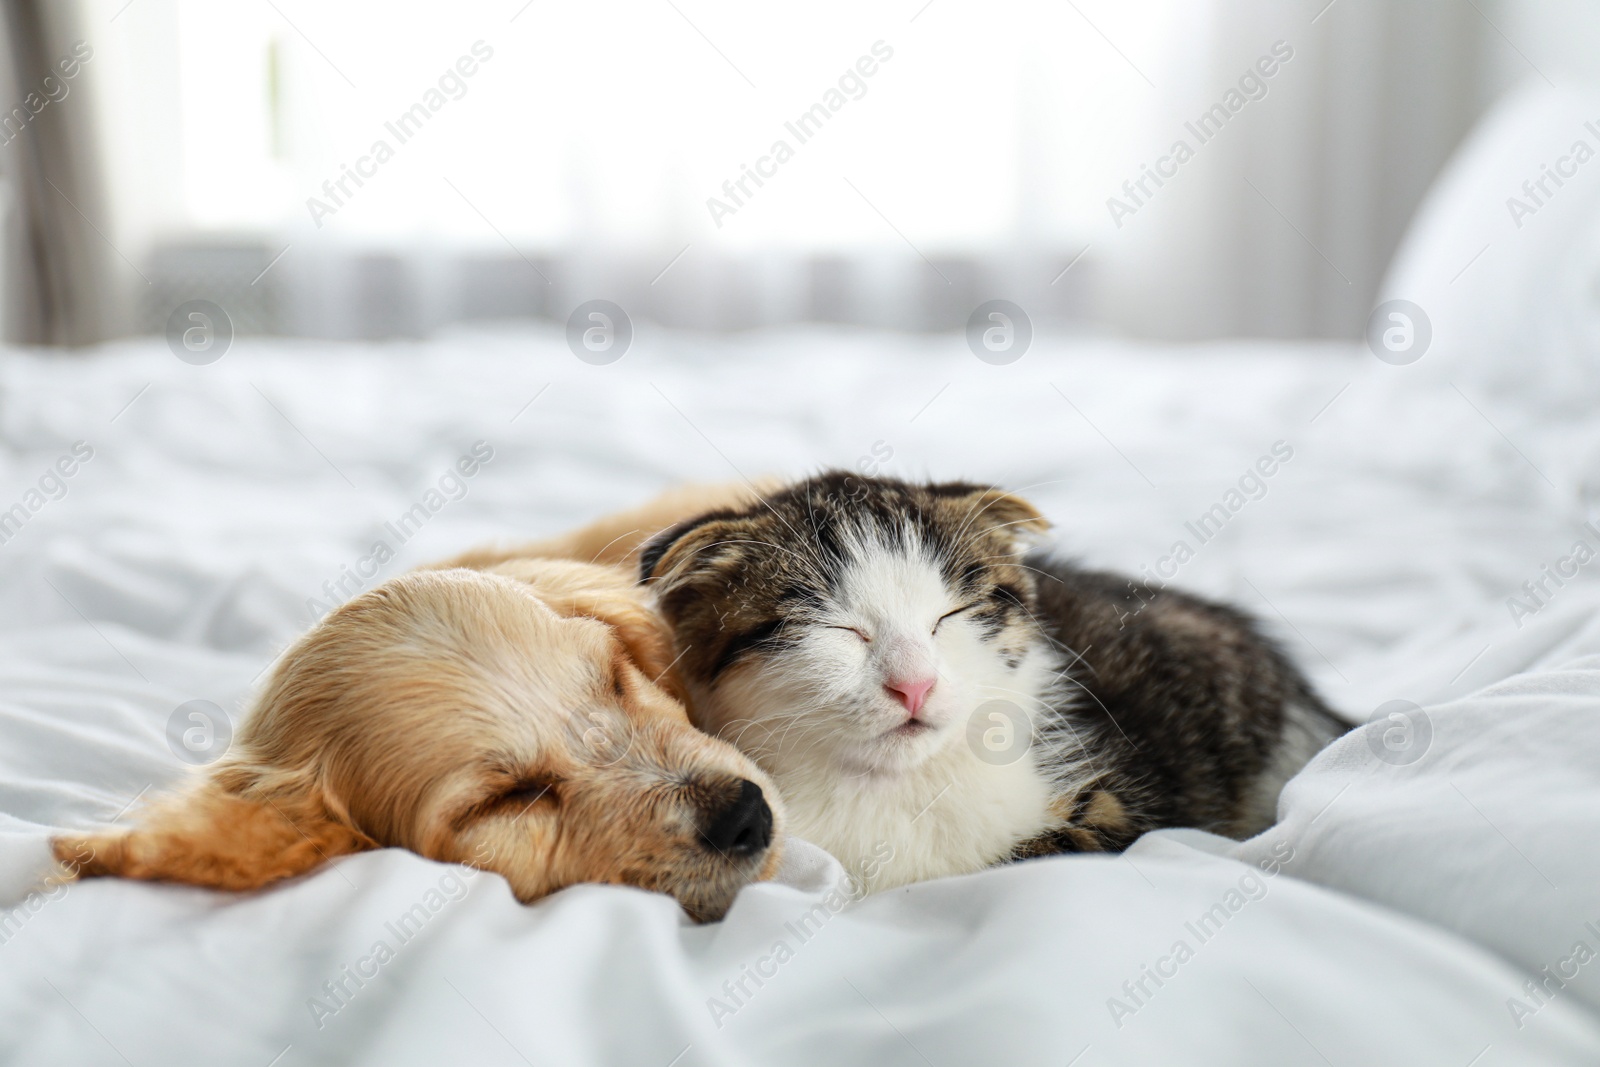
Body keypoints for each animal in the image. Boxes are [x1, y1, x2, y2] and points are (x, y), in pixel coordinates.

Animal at [643, 476, 1344, 895]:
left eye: (948, 616)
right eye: (840, 629)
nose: (915, 686)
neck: (899, 788)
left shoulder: (1117, 805)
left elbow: (1047, 852)